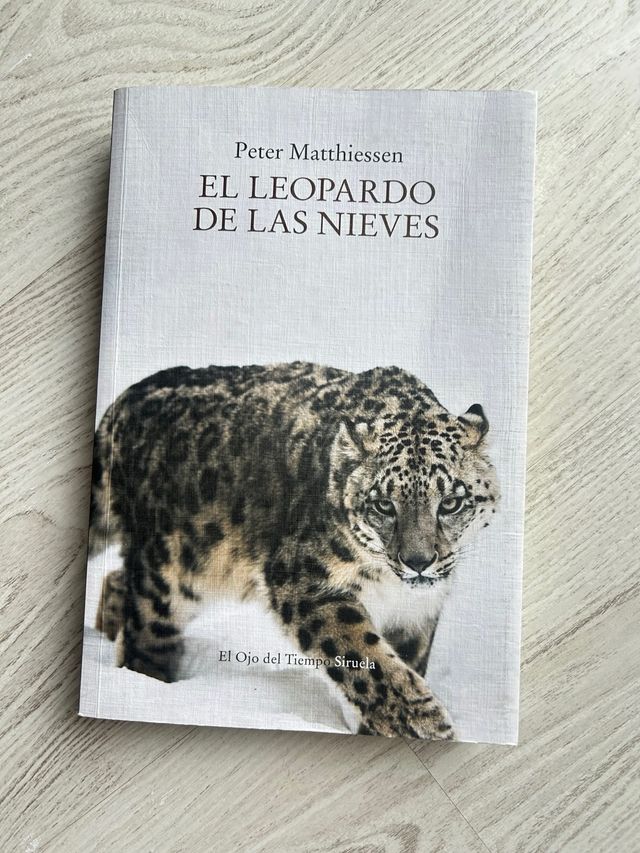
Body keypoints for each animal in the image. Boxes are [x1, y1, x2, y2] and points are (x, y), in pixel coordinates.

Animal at [90, 361, 499, 739]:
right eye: (384, 505)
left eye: (450, 503)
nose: (417, 562)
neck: (389, 585)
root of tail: (126, 399)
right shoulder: (304, 582)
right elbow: (363, 655)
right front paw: (424, 723)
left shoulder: (417, 611)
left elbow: (406, 659)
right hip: (168, 572)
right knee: (146, 631)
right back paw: (146, 686)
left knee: (117, 580)